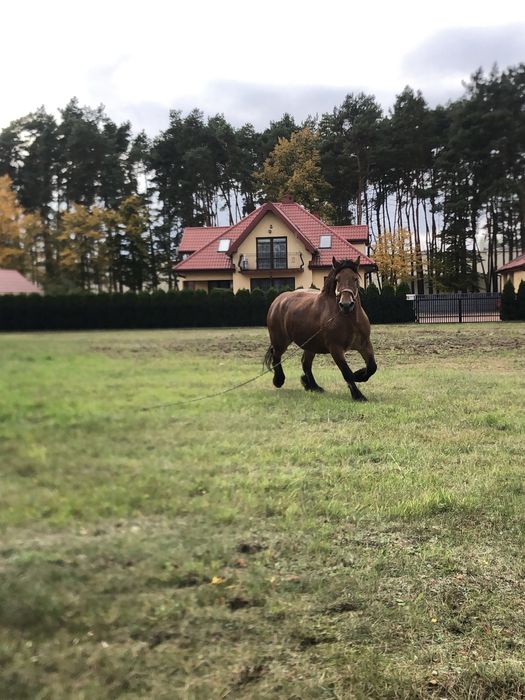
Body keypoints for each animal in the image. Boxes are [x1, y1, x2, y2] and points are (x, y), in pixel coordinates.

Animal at [264, 258, 374, 400]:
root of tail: (278, 301)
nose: (346, 305)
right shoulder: (335, 348)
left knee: (305, 363)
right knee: (276, 356)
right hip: (280, 341)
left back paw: (313, 386)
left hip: (310, 345)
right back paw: (279, 380)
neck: (349, 320)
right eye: (337, 279)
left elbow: (372, 367)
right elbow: (347, 372)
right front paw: (358, 395)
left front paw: (359, 375)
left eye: (355, 279)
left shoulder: (365, 344)